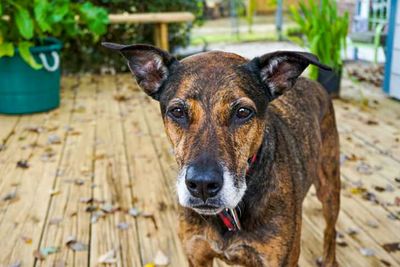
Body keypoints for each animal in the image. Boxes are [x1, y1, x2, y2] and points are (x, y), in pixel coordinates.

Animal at [103, 43, 340, 266]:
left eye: (243, 112)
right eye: (177, 112)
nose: (202, 185)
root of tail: (312, 83)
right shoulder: (197, 255)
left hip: (329, 188)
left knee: (330, 231)